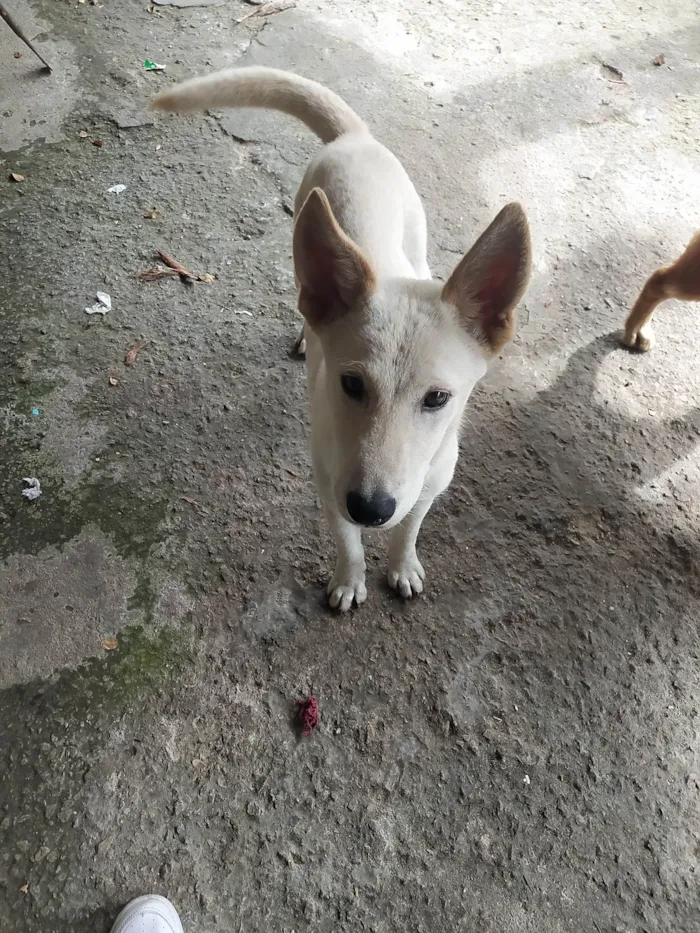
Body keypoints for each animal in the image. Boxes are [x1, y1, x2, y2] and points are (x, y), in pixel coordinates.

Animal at [150, 67, 528, 612]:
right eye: (351, 385)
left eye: (438, 398)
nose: (370, 508)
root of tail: (356, 138)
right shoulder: (329, 484)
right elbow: (348, 543)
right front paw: (350, 581)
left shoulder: (428, 487)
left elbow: (408, 529)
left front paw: (402, 565)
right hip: (304, 229)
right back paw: (307, 336)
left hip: (415, 229)